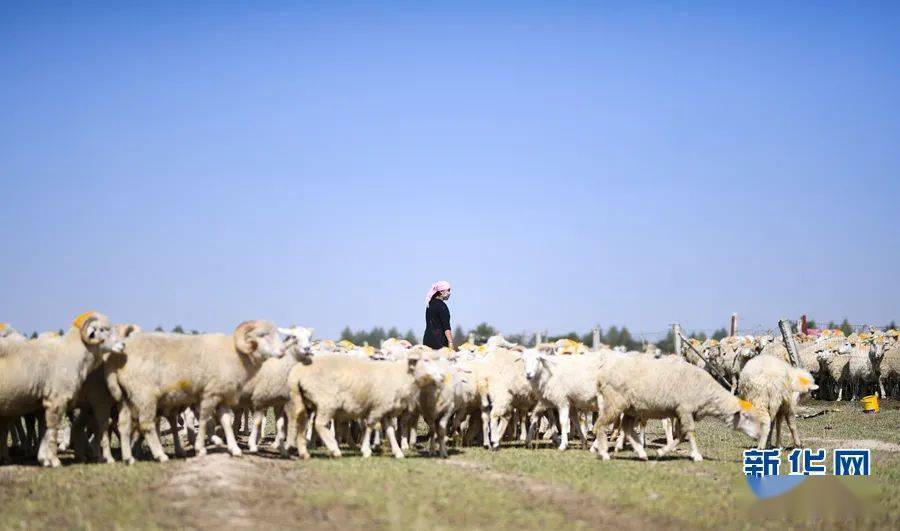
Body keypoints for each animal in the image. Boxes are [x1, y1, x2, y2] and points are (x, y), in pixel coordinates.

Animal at [0, 314, 124, 468]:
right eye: (102, 329)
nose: (122, 345)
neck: (69, 353)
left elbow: (46, 429)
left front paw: (45, 458)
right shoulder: (62, 400)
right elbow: (53, 429)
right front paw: (54, 460)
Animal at [107, 322, 286, 464]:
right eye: (262, 335)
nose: (281, 351)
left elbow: (224, 420)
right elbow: (207, 419)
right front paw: (205, 443)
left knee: (129, 424)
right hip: (146, 397)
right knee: (147, 423)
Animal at [592, 356, 768, 464]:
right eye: (748, 417)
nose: (758, 437)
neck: (708, 393)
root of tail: (601, 375)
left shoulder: (684, 412)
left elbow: (682, 435)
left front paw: (662, 451)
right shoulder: (685, 409)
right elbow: (690, 432)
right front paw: (697, 455)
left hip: (630, 408)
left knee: (627, 428)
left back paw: (641, 453)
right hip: (614, 403)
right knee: (600, 425)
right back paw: (604, 453)